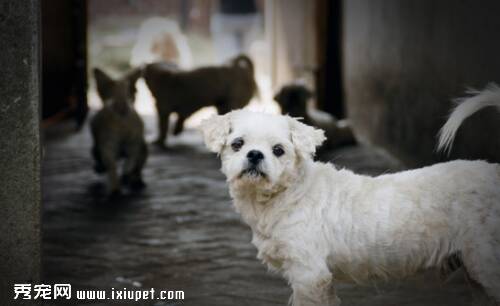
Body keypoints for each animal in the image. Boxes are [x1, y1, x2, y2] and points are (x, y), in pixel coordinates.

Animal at [199, 109, 500, 304]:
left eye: (278, 150)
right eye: (237, 144)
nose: (254, 155)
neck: (287, 195)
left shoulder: (310, 275)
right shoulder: (318, 280)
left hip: (486, 263)